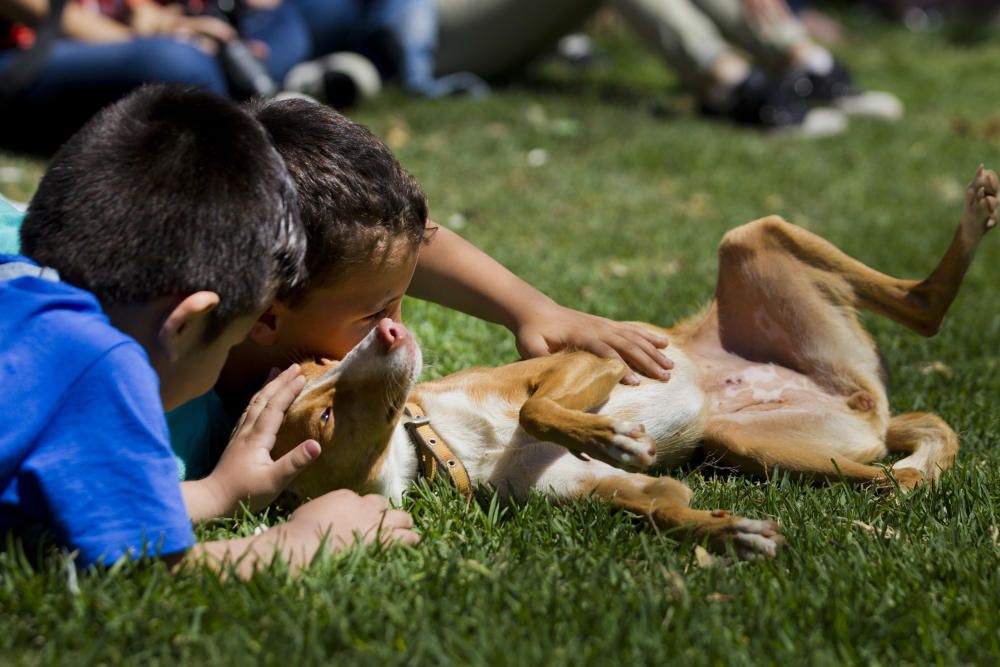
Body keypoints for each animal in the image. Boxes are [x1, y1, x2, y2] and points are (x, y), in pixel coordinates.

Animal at [274, 166, 1000, 560]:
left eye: (321, 368)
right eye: (324, 414)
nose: (389, 330)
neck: (448, 441)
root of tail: (865, 400)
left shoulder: (587, 358)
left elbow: (537, 409)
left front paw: (612, 436)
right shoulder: (625, 492)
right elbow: (664, 508)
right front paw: (731, 533)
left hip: (751, 237)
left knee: (925, 307)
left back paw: (976, 212)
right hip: (749, 442)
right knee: (896, 467)